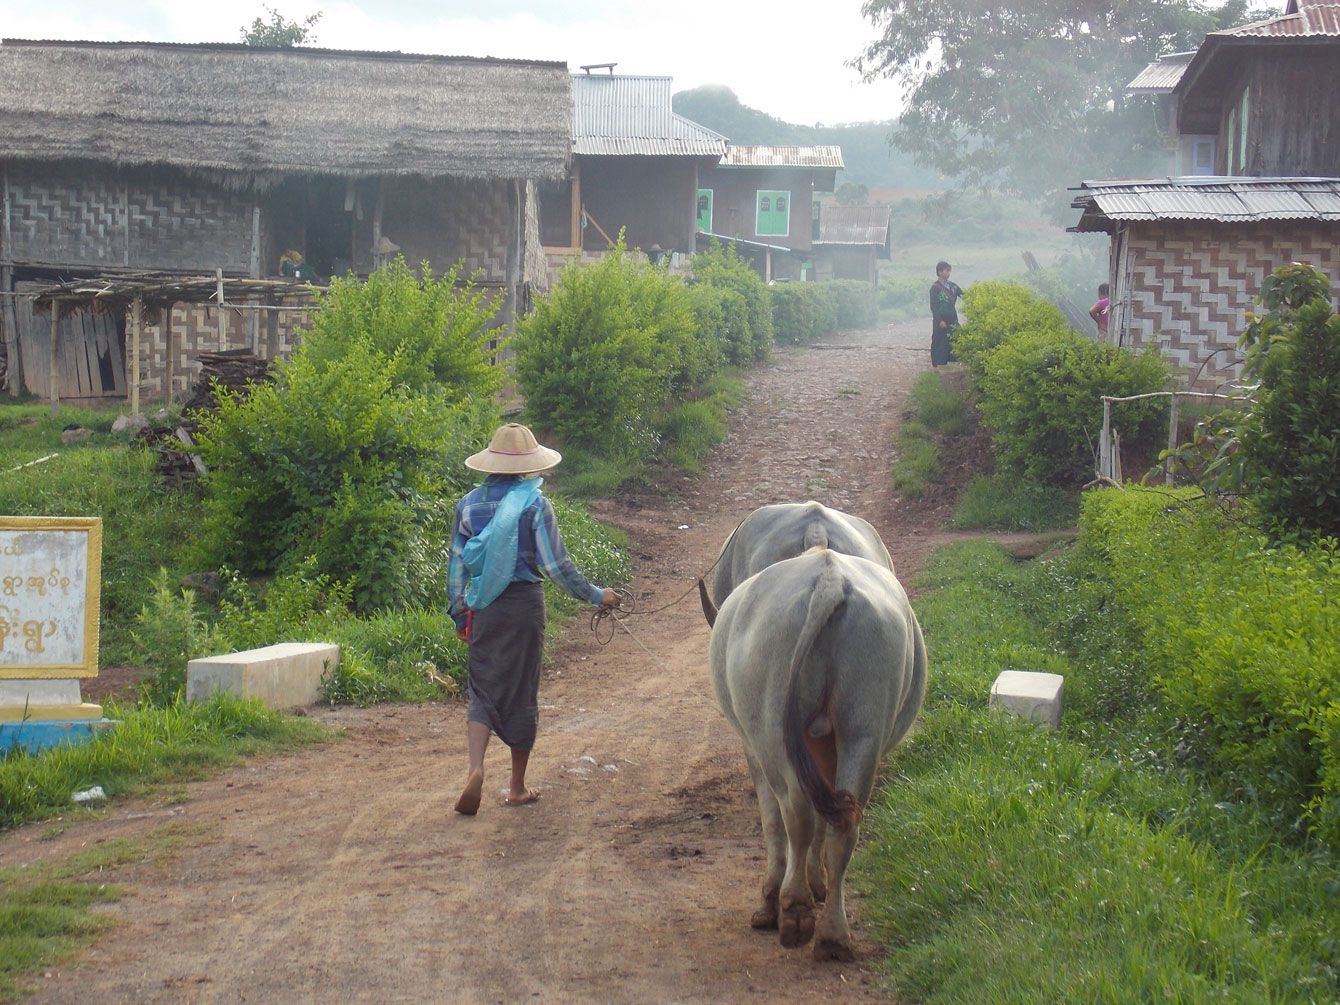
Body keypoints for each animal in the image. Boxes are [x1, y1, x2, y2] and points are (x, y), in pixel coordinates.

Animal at [709, 546, 926, 961]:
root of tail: (829, 579)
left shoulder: (754, 751)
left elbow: (774, 822)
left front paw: (772, 900)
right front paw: (817, 884)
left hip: (772, 726)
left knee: (795, 814)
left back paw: (793, 910)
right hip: (864, 723)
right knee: (844, 824)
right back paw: (833, 935)